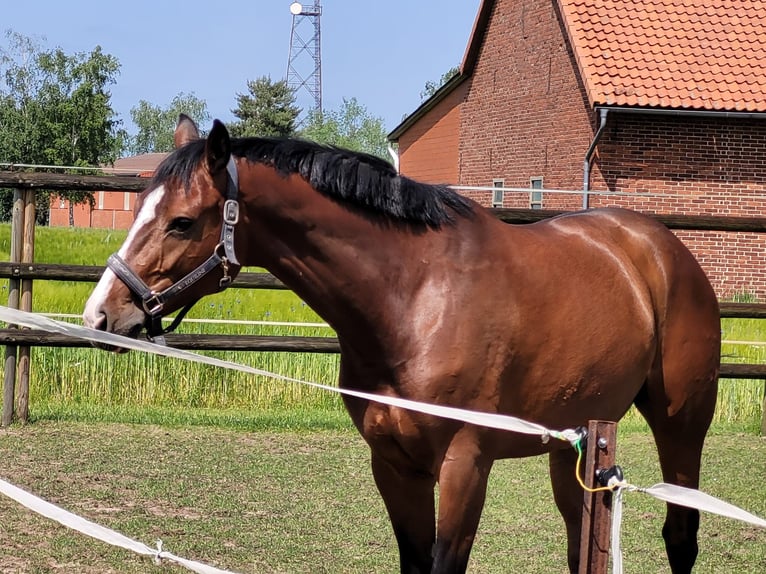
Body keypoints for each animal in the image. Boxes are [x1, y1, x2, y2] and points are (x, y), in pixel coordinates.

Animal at [82, 117, 720, 574]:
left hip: (681, 426)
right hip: (575, 442)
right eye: (138, 209)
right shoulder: (394, 465)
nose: (102, 314)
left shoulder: (465, 466)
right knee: (576, 537)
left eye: (183, 222)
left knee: (681, 535)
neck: (414, 298)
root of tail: (660, 246)